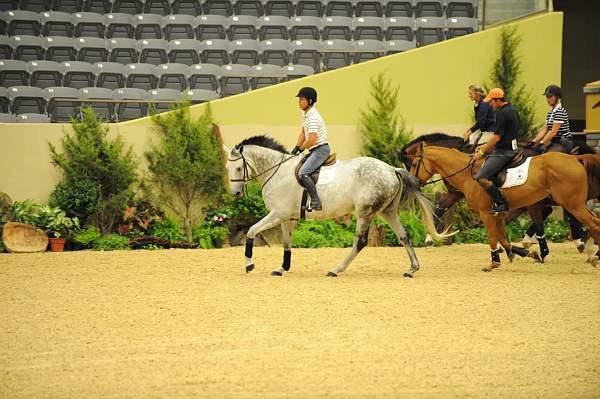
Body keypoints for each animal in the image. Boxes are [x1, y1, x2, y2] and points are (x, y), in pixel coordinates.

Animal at [225, 135, 454, 278]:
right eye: (227, 167)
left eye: (239, 168)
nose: (235, 194)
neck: (278, 171)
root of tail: (391, 169)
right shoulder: (286, 217)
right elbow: (287, 244)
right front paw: (282, 268)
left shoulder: (277, 214)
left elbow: (252, 231)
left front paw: (249, 265)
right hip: (387, 212)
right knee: (404, 235)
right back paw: (412, 269)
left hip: (365, 212)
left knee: (360, 242)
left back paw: (336, 269)